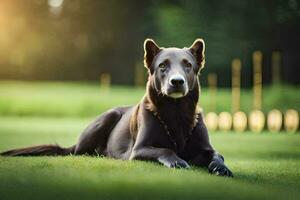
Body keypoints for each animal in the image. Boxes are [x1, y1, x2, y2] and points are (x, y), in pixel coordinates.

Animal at [1, 38, 233, 177]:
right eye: (163, 65)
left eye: (187, 65)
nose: (177, 82)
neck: (176, 113)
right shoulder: (139, 149)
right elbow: (165, 149)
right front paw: (177, 161)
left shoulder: (205, 148)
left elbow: (218, 154)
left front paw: (221, 167)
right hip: (106, 118)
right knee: (77, 154)